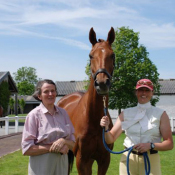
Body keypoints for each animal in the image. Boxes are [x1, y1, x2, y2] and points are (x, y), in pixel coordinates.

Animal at [56, 26, 115, 174]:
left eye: (112, 55)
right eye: (90, 55)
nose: (102, 83)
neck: (93, 120)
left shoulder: (104, 159)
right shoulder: (82, 160)